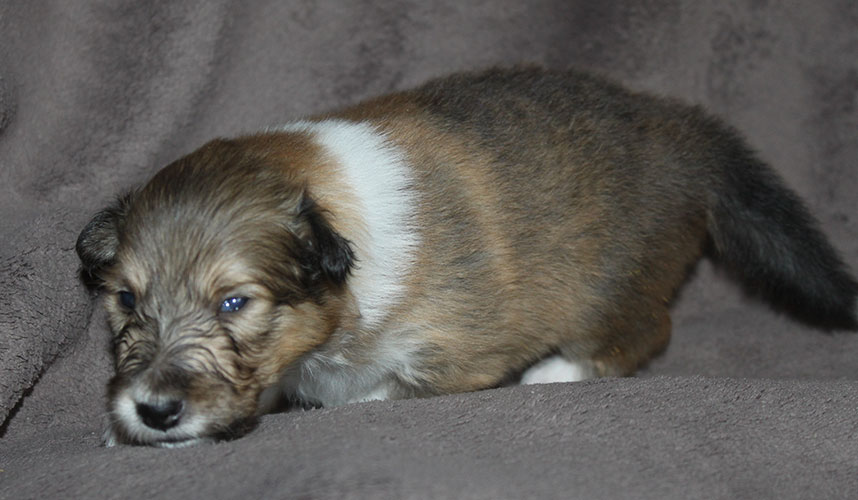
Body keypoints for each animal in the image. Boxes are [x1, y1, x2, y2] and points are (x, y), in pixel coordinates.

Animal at [76, 66, 858, 447]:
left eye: (235, 303)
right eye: (126, 300)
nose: (155, 411)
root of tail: (684, 132)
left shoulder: (453, 354)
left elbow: (375, 393)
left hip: (610, 285)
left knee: (644, 331)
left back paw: (557, 372)